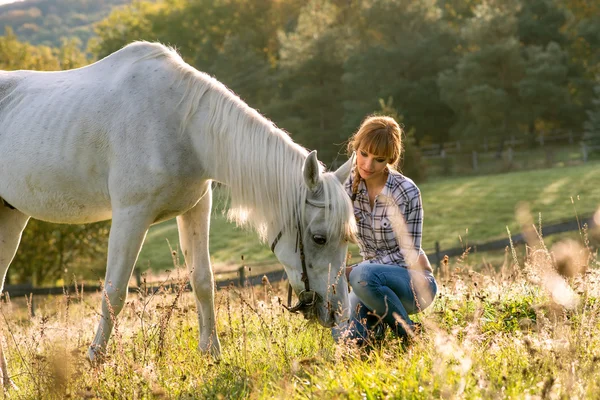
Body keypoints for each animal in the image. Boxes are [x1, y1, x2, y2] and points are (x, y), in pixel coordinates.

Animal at [0, 40, 356, 388]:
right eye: (319, 238)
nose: (338, 313)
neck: (182, 125)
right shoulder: (131, 215)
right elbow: (114, 292)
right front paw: (94, 364)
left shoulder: (197, 209)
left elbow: (203, 281)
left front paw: (212, 355)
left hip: (12, 220)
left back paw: (9, 384)